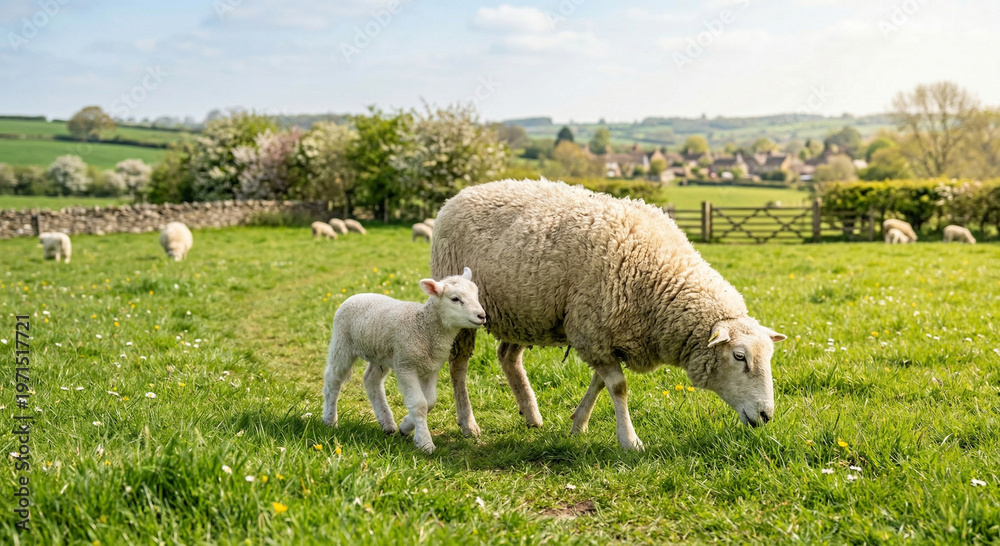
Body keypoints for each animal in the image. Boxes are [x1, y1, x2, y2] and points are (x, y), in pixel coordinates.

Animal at [322, 267, 486, 453]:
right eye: (455, 299)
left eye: (476, 295)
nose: (482, 315)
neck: (423, 327)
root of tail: (357, 295)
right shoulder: (406, 366)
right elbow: (419, 404)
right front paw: (425, 442)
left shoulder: (431, 368)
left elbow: (430, 402)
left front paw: (405, 426)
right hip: (342, 344)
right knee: (333, 380)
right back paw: (330, 420)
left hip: (380, 354)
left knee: (371, 380)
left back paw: (387, 423)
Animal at [431, 179, 786, 450]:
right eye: (739, 357)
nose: (767, 416)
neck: (659, 278)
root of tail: (459, 195)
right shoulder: (592, 330)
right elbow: (618, 387)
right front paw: (629, 440)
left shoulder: (602, 333)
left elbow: (599, 383)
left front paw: (578, 424)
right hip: (464, 308)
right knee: (459, 364)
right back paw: (468, 424)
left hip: (525, 310)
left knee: (508, 357)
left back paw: (531, 415)